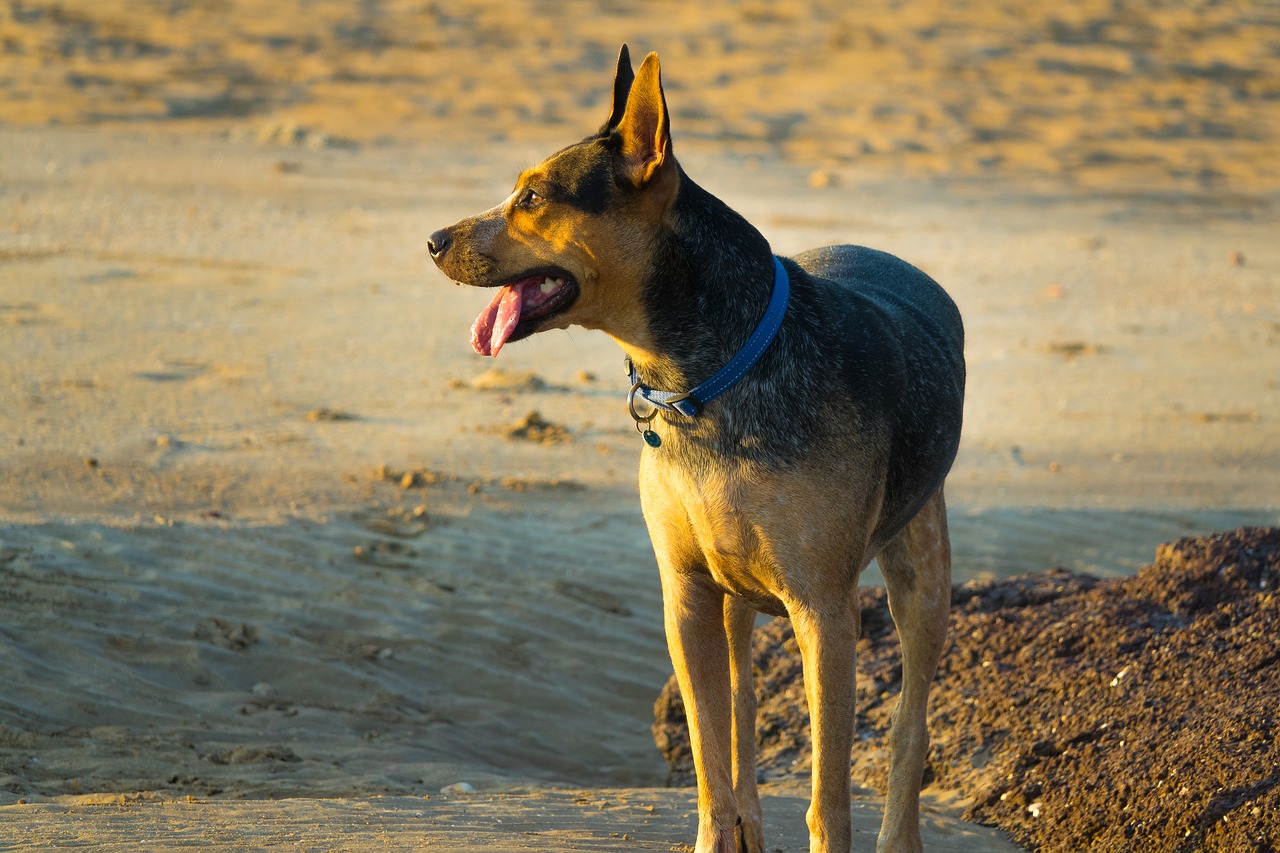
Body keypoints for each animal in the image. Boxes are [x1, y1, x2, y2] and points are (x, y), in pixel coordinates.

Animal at [424, 44, 962, 850]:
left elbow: (829, 791)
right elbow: (712, 757)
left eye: (533, 198)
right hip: (734, 593)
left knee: (909, 723)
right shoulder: (686, 593)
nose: (431, 241)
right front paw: (718, 833)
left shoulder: (824, 612)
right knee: (740, 711)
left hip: (921, 567)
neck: (708, 381)